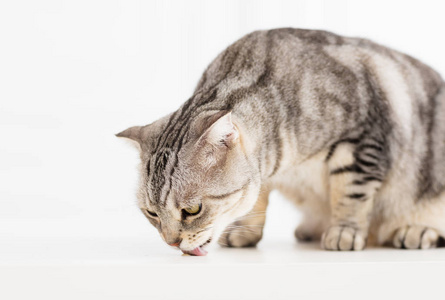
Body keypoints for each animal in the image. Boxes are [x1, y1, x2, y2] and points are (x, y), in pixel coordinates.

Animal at [117, 28, 444, 254]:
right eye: (151, 213)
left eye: (193, 210)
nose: (171, 242)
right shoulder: (263, 172)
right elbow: (256, 199)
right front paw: (244, 231)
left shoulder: (362, 142)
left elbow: (352, 195)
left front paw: (344, 231)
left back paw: (416, 230)